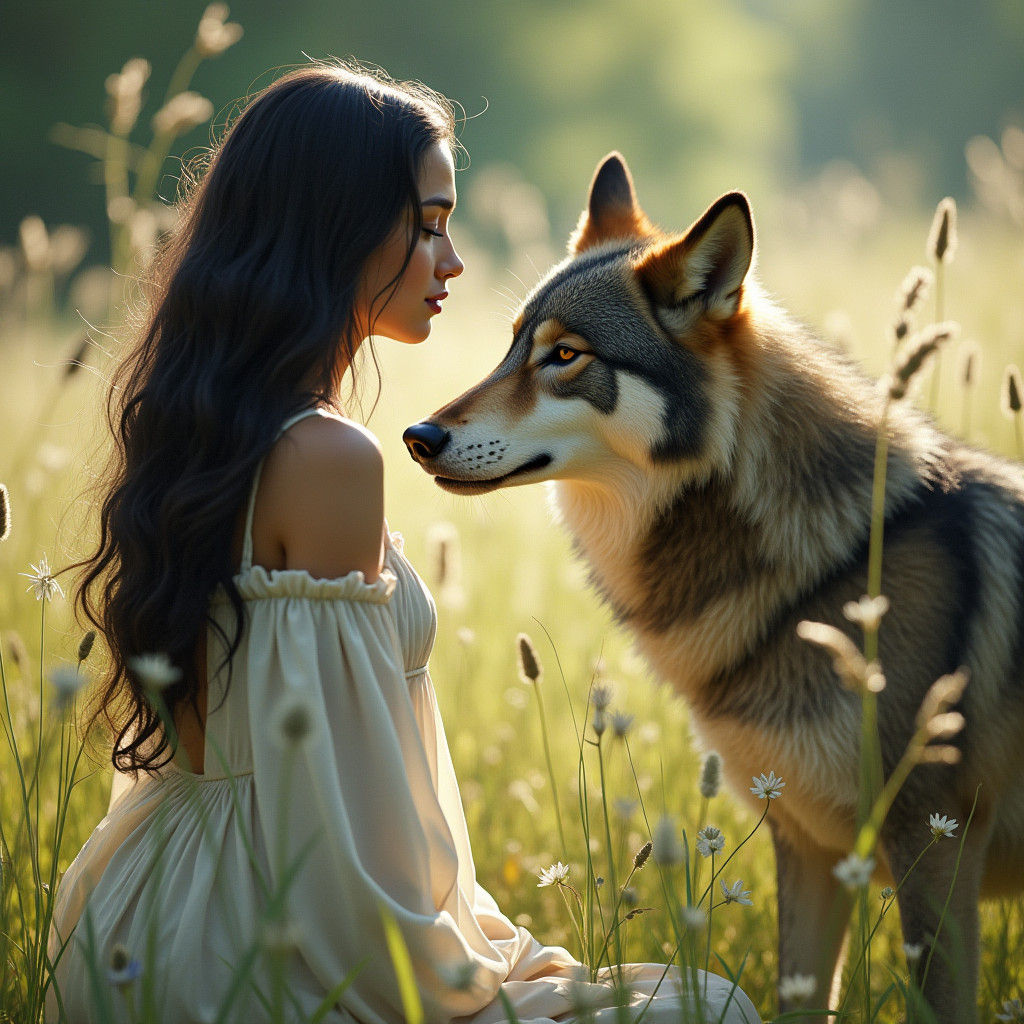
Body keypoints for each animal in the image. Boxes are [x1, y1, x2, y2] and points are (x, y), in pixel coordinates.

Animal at [403, 152, 1024, 1021]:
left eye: (565, 356)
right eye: (512, 348)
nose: (416, 437)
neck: (835, 567)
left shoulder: (932, 845)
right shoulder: (810, 847)